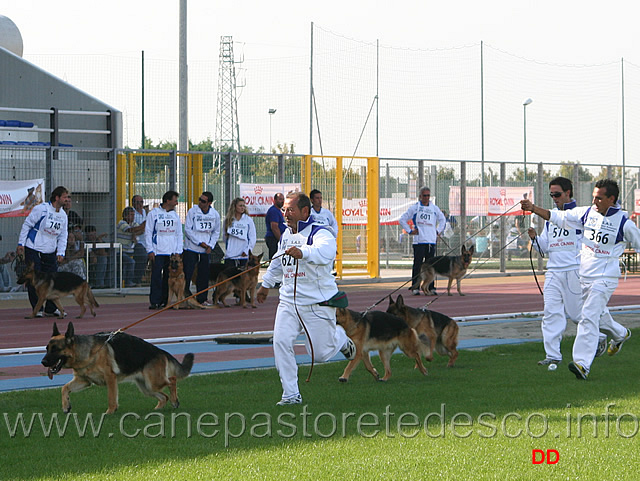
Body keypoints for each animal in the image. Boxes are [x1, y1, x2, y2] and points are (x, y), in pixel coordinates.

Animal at [42, 320, 195, 410]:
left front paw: (109, 413)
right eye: (47, 348)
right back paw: (157, 410)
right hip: (146, 387)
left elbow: (111, 398)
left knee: (172, 380)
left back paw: (175, 401)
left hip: (153, 382)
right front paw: (66, 405)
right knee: (164, 396)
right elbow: (64, 388)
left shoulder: (110, 378)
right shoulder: (84, 381)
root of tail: (160, 351)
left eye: (55, 349)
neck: (89, 352)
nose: (43, 362)